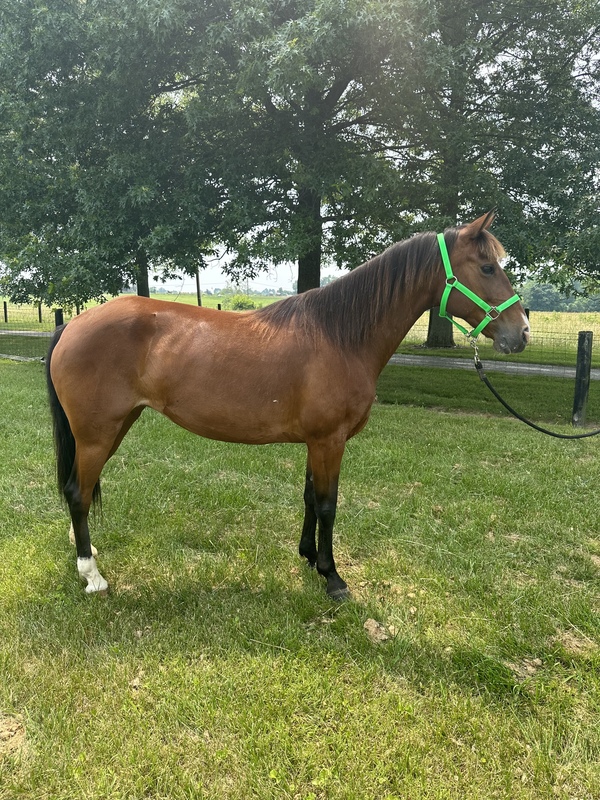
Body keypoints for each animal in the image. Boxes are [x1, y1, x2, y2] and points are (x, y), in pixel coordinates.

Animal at [46, 211, 530, 599]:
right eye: (487, 267)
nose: (521, 331)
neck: (340, 335)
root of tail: (73, 324)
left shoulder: (316, 442)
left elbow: (310, 498)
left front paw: (309, 556)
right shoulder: (329, 440)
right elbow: (328, 504)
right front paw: (333, 577)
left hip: (115, 427)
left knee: (80, 491)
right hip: (97, 433)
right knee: (78, 493)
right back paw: (92, 575)